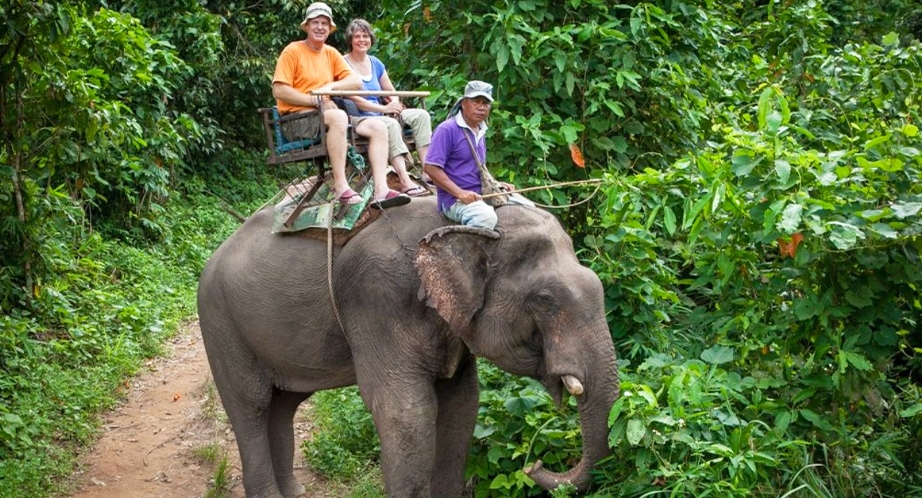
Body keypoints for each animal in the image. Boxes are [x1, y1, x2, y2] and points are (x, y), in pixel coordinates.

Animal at [198, 196, 620, 498]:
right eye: (545, 301)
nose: (532, 467)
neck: (460, 227)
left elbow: (461, 403)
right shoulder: (377, 299)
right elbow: (407, 414)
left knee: (285, 403)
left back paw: (294, 491)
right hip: (219, 323)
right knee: (252, 405)